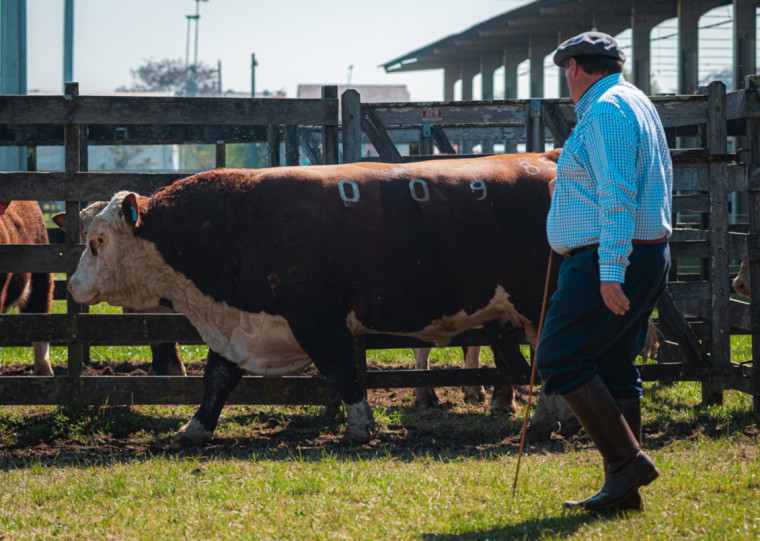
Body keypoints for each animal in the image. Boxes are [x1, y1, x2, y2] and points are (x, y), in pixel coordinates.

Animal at [70, 151, 564, 442]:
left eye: (98, 241)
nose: (73, 286)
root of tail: (546, 158)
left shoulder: (316, 318)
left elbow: (343, 372)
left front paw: (361, 426)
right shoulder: (239, 325)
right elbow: (217, 380)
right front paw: (194, 429)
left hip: (538, 300)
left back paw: (547, 419)